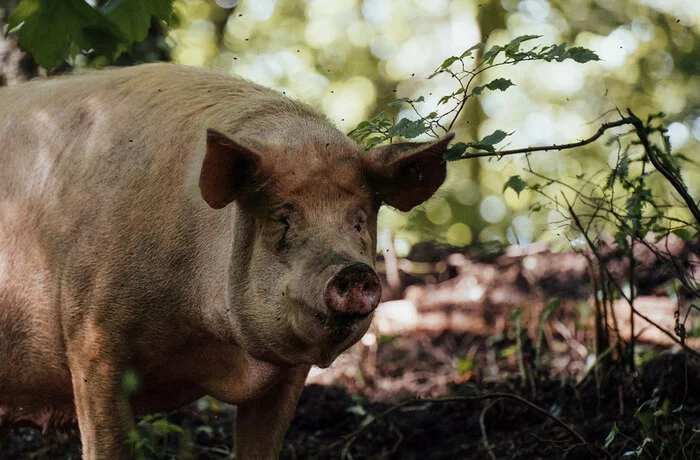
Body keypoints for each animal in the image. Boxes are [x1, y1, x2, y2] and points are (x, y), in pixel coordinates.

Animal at [0, 63, 452, 458]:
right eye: (283, 218)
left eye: (358, 220)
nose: (353, 270)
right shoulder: (90, 337)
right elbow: (109, 444)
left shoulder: (288, 373)